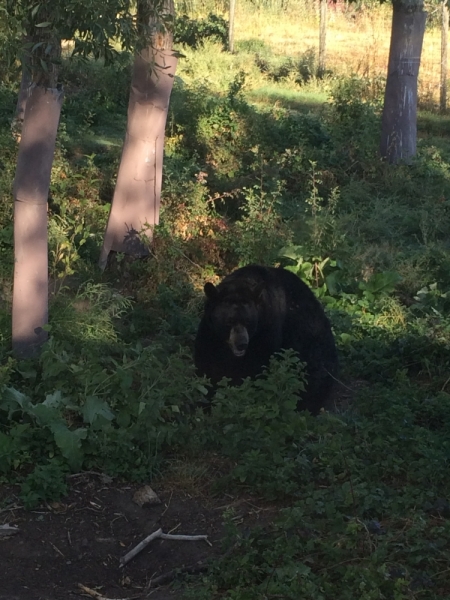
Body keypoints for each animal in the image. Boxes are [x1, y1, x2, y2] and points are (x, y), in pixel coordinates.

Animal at [193, 264, 338, 414]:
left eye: (248, 322)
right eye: (229, 321)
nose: (241, 344)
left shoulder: (266, 328)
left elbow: (256, 367)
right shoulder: (210, 331)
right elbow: (207, 362)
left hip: (313, 346)